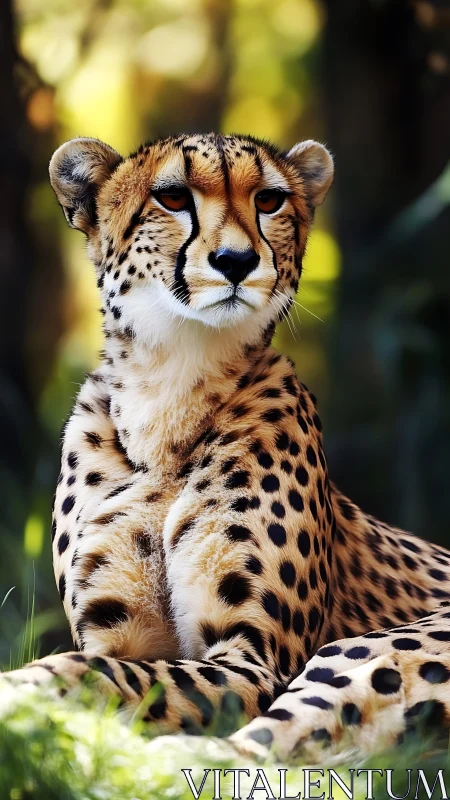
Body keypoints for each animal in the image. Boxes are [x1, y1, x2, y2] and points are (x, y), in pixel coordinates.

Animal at [4, 131, 450, 763]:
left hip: (369, 652)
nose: (236, 262)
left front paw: (19, 693)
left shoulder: (252, 663)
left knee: (255, 752)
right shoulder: (120, 636)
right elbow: (110, 669)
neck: (170, 389)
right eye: (171, 197)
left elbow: (90, 672)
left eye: (268, 200)